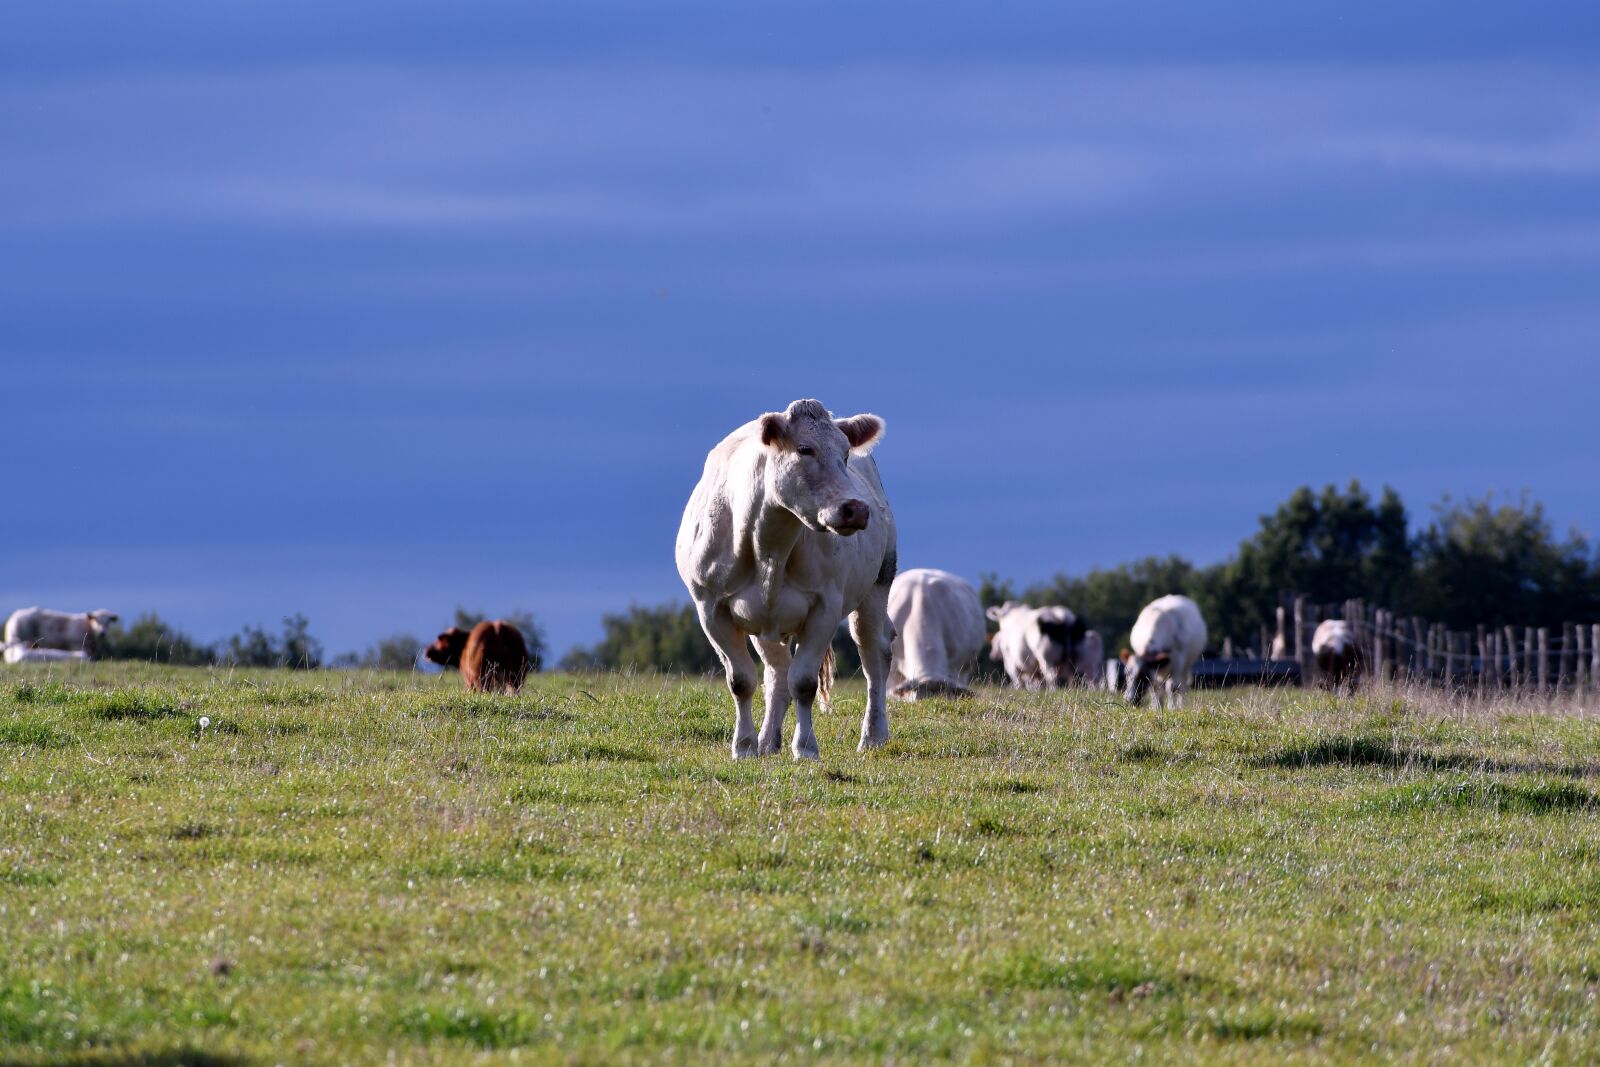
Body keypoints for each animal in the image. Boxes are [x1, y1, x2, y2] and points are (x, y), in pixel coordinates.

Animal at [676, 398, 897, 760]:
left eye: (845, 454)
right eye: (805, 449)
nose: (856, 508)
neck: (769, 545)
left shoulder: (825, 607)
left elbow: (804, 682)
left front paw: (805, 747)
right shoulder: (710, 607)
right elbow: (742, 680)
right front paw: (744, 746)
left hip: (878, 584)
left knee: (874, 655)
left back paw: (873, 735)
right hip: (766, 623)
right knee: (777, 671)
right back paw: (767, 742)